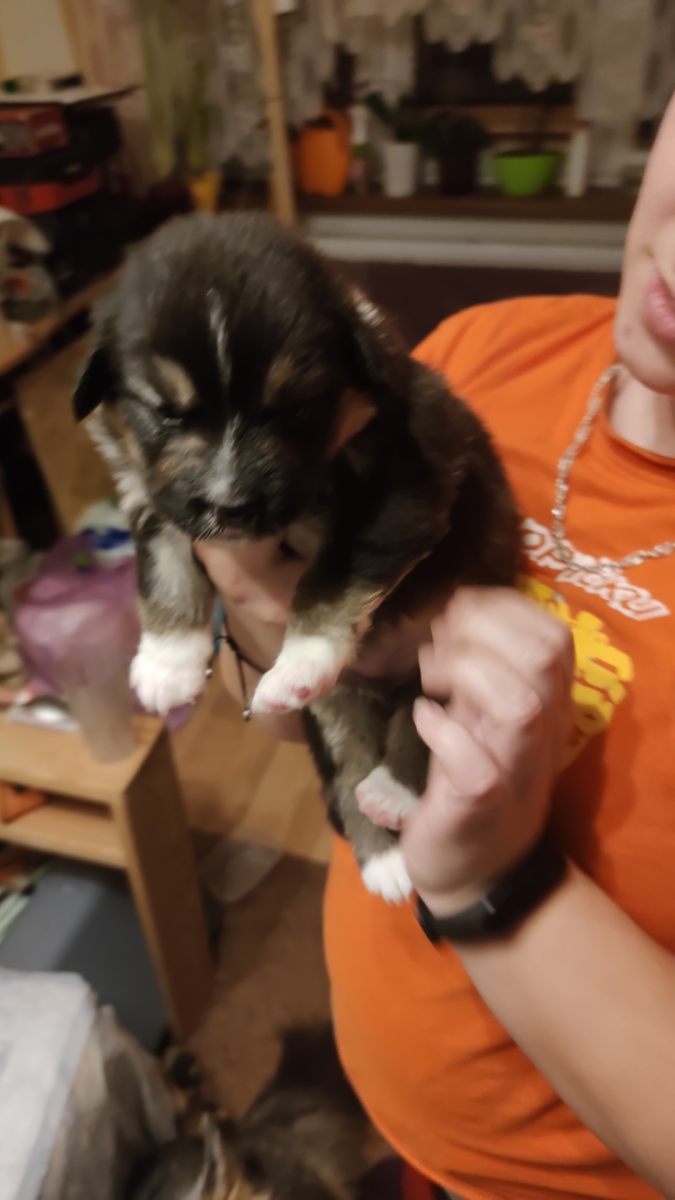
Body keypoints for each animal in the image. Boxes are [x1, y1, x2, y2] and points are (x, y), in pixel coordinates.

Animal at [73, 212, 519, 901]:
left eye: (295, 407)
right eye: (167, 413)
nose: (229, 507)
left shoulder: (408, 485)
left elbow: (330, 575)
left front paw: (299, 660)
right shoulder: (154, 494)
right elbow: (165, 567)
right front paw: (167, 665)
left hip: (453, 654)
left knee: (426, 723)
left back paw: (393, 795)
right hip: (337, 712)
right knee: (348, 764)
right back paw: (385, 861)